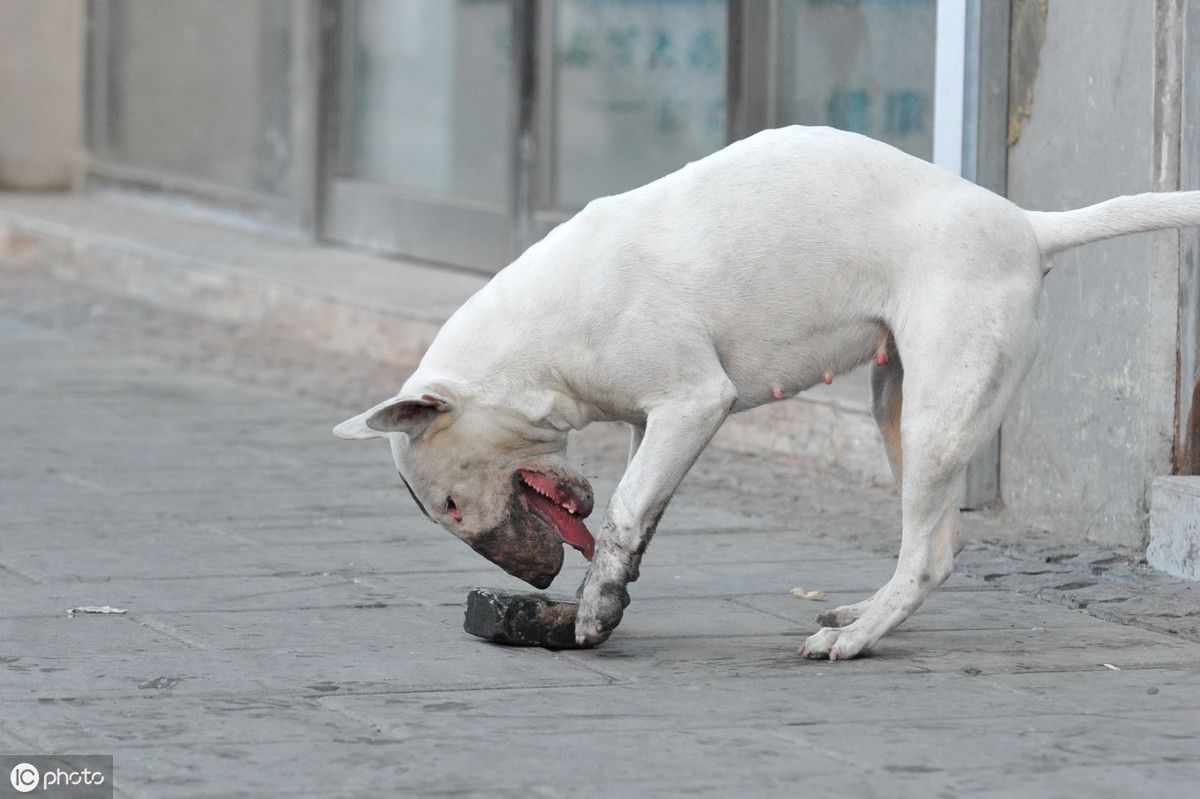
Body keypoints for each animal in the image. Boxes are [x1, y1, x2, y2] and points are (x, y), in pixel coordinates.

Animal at [336, 125, 1200, 657]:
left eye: (449, 506)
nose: (531, 583)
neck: (541, 340)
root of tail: (1026, 225)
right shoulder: (654, 422)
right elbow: (637, 511)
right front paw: (602, 593)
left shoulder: (694, 401)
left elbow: (623, 510)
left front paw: (592, 602)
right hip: (900, 404)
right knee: (940, 545)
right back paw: (862, 614)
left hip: (937, 412)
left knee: (926, 554)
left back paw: (854, 638)